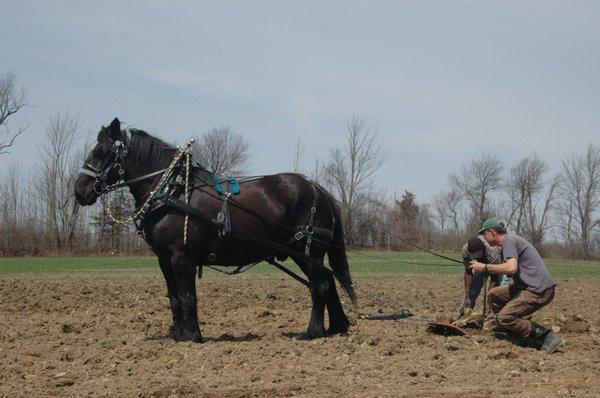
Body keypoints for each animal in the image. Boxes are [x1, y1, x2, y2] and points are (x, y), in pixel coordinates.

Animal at [74, 118, 356, 342]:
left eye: (100, 150)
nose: (79, 190)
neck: (172, 191)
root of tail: (318, 189)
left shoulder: (182, 258)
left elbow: (188, 296)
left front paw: (192, 336)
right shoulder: (164, 260)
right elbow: (174, 298)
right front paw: (177, 334)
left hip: (307, 250)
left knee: (319, 286)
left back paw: (313, 332)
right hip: (306, 254)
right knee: (328, 282)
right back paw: (337, 326)